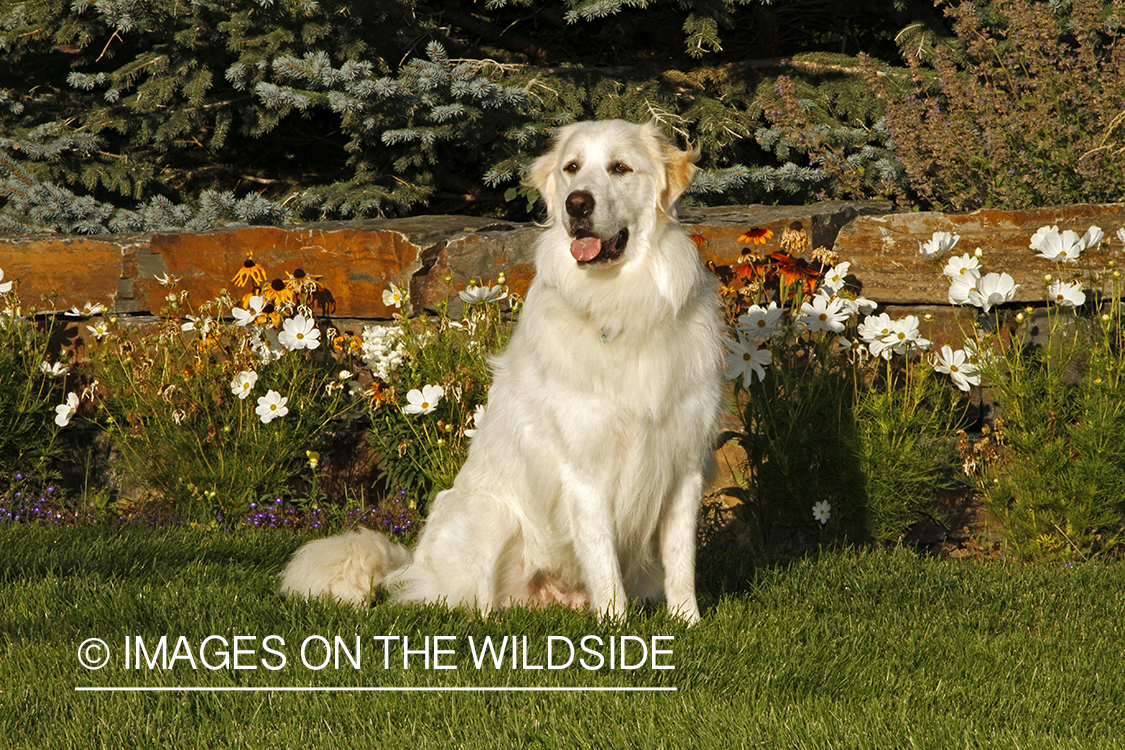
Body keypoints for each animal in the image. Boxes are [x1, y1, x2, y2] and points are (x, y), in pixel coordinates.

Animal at [280, 120, 720, 625]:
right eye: (572, 168)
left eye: (620, 168)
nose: (576, 204)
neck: (622, 305)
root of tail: (412, 565)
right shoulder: (586, 474)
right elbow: (605, 567)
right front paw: (615, 628)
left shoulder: (684, 467)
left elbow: (681, 563)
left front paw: (688, 623)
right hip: (488, 515)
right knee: (470, 606)